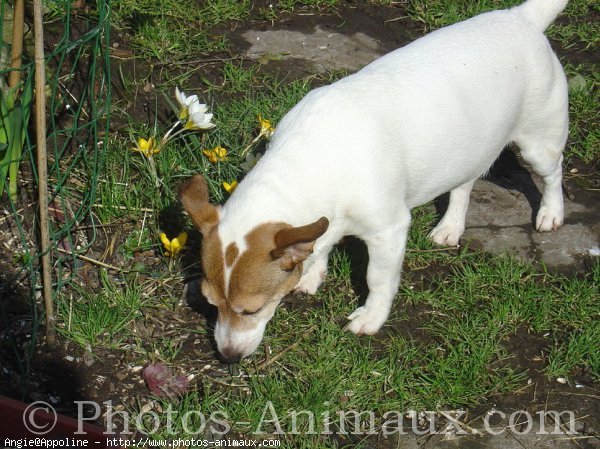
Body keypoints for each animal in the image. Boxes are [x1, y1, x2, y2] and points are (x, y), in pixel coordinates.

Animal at [180, 0, 568, 362]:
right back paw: (450, 227)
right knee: (464, 184)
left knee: (553, 174)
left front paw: (371, 317)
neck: (315, 156)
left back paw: (550, 213)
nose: (227, 356)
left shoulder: (389, 231)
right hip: (468, 147)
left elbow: (378, 280)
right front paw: (311, 273)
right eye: (209, 303)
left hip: (538, 143)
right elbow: (319, 243)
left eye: (253, 309)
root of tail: (521, 17)